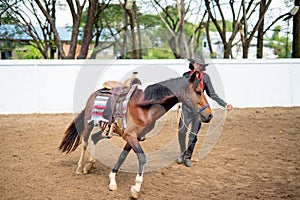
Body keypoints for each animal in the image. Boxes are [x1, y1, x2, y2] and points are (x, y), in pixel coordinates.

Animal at [59, 70, 213, 198]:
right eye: (198, 91)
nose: (209, 115)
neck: (143, 106)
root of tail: (96, 92)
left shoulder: (133, 137)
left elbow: (122, 156)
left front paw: (112, 180)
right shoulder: (130, 136)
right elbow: (142, 157)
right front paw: (136, 188)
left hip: (107, 130)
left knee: (94, 138)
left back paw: (90, 165)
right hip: (88, 124)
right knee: (85, 141)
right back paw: (80, 167)